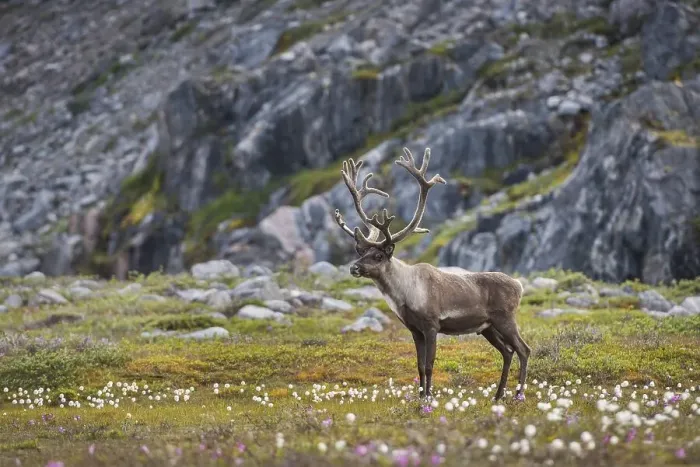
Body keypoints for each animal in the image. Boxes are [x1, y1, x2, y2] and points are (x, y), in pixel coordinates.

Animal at [333, 147, 531, 401]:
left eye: (378, 256)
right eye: (362, 251)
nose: (353, 268)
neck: (404, 294)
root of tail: (519, 285)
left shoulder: (432, 325)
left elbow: (429, 364)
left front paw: (428, 397)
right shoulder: (415, 330)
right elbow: (418, 365)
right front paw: (420, 398)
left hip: (505, 319)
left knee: (523, 349)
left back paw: (518, 394)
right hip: (487, 328)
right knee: (508, 352)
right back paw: (498, 395)